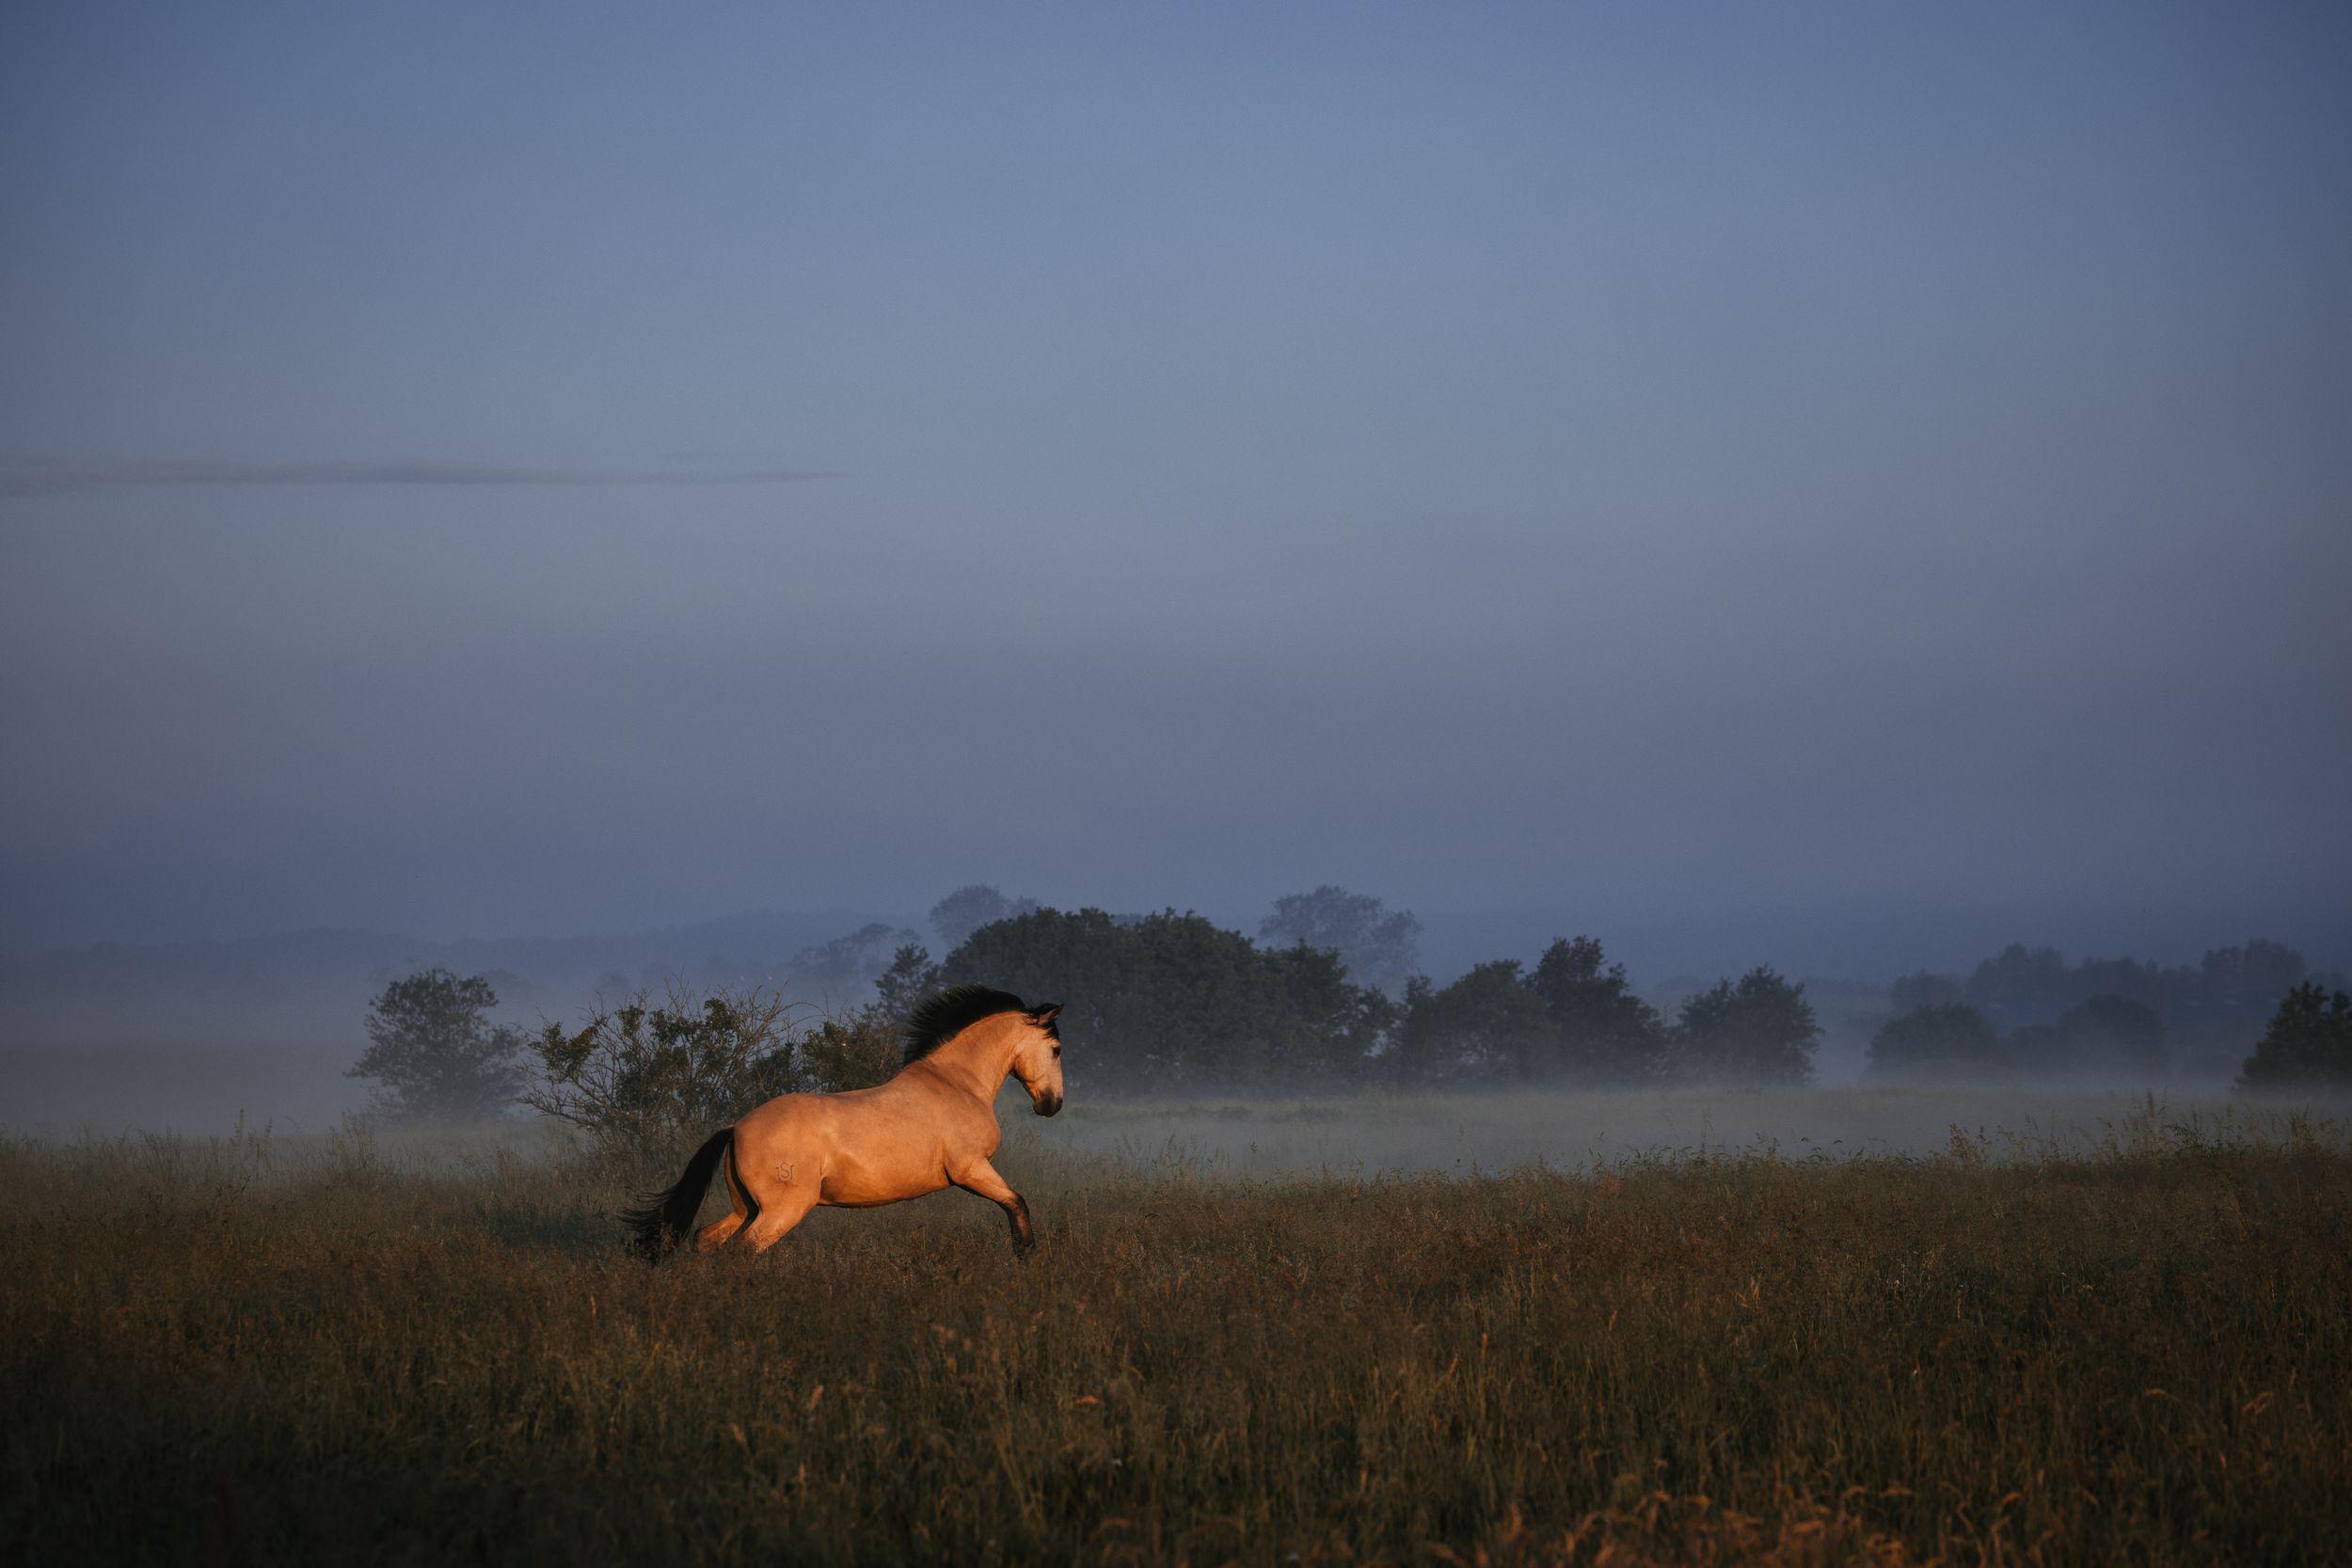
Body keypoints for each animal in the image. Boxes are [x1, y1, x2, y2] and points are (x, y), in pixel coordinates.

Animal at [624, 985, 1064, 1261]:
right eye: (1057, 1048)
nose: (1052, 1105)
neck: (956, 1083)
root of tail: (736, 1128)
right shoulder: (971, 1169)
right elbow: (1017, 1204)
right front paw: (1026, 1257)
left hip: (746, 1207)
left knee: (707, 1240)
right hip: (782, 1210)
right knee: (742, 1250)